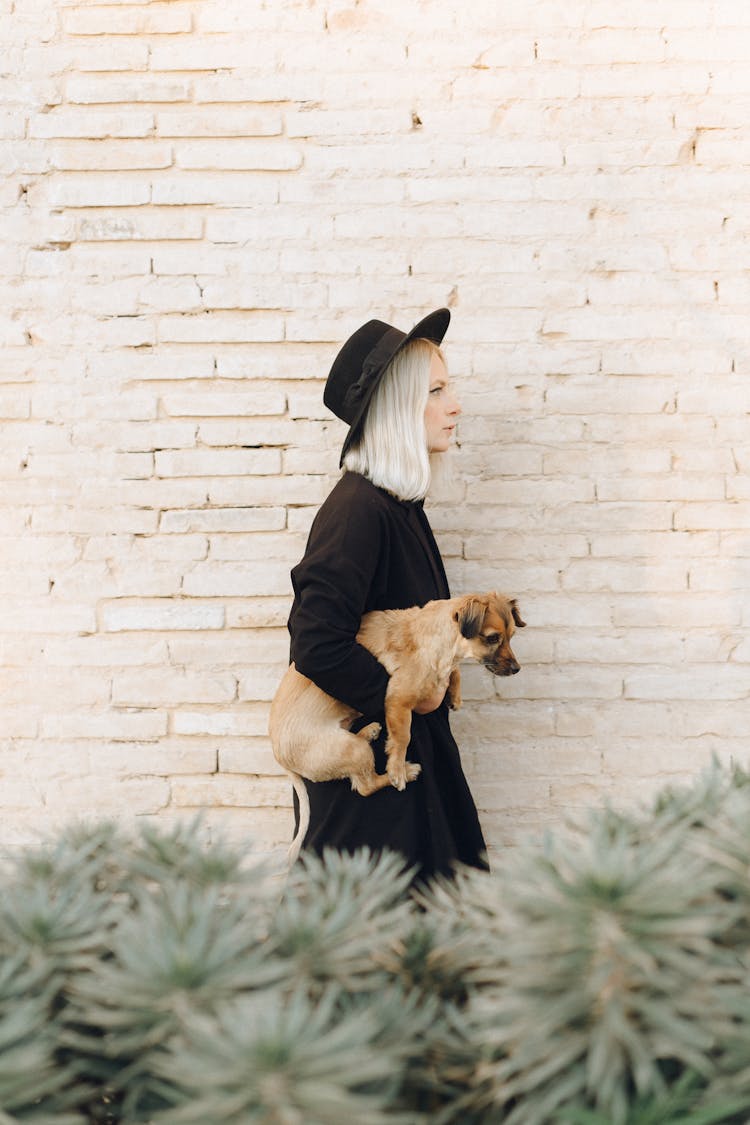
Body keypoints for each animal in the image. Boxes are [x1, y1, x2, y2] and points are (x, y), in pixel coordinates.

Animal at [270, 598, 528, 859]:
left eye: (511, 636)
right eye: (493, 638)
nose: (517, 669)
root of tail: (281, 760)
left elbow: (454, 672)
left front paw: (454, 695)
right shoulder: (398, 699)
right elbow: (403, 736)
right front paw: (397, 770)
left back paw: (369, 731)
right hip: (351, 750)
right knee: (365, 786)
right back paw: (407, 770)